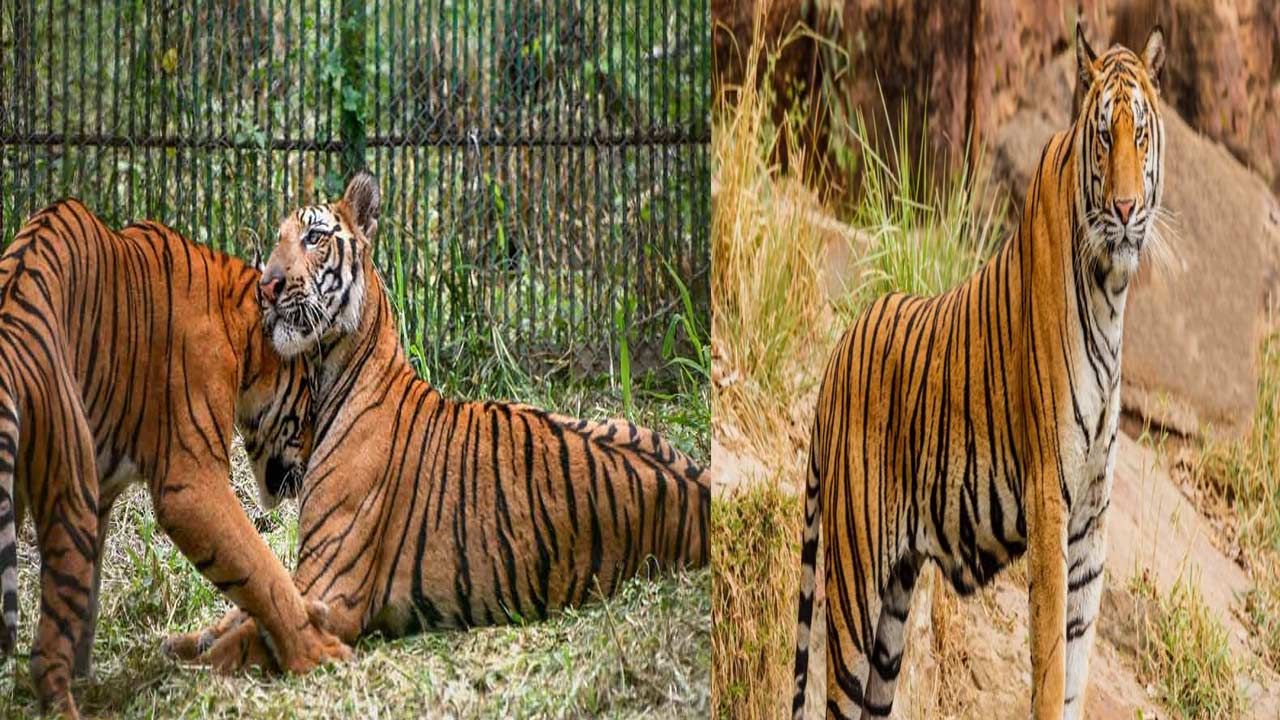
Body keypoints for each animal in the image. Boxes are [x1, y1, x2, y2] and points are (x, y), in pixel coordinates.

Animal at [0, 200, 351, 718]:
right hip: (70, 488)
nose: (312, 461)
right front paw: (315, 651)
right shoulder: (191, 483)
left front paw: (94, 679)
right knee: (45, 653)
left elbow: (89, 601)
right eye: (310, 406)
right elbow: (262, 571)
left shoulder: (104, 492)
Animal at [162, 170, 710, 665]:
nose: (267, 286)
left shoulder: (330, 588)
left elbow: (249, 634)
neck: (333, 372)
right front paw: (184, 640)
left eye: (313, 237)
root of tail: (703, 489)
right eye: (276, 241)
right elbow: (244, 611)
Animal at [790, 23, 1166, 719]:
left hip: (893, 611)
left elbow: (1076, 664)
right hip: (855, 586)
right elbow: (1049, 664)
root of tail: (834, 356)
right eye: (1105, 135)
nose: (1127, 209)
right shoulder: (1050, 499)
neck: (1112, 288)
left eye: (1141, 135)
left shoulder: (1092, 519)